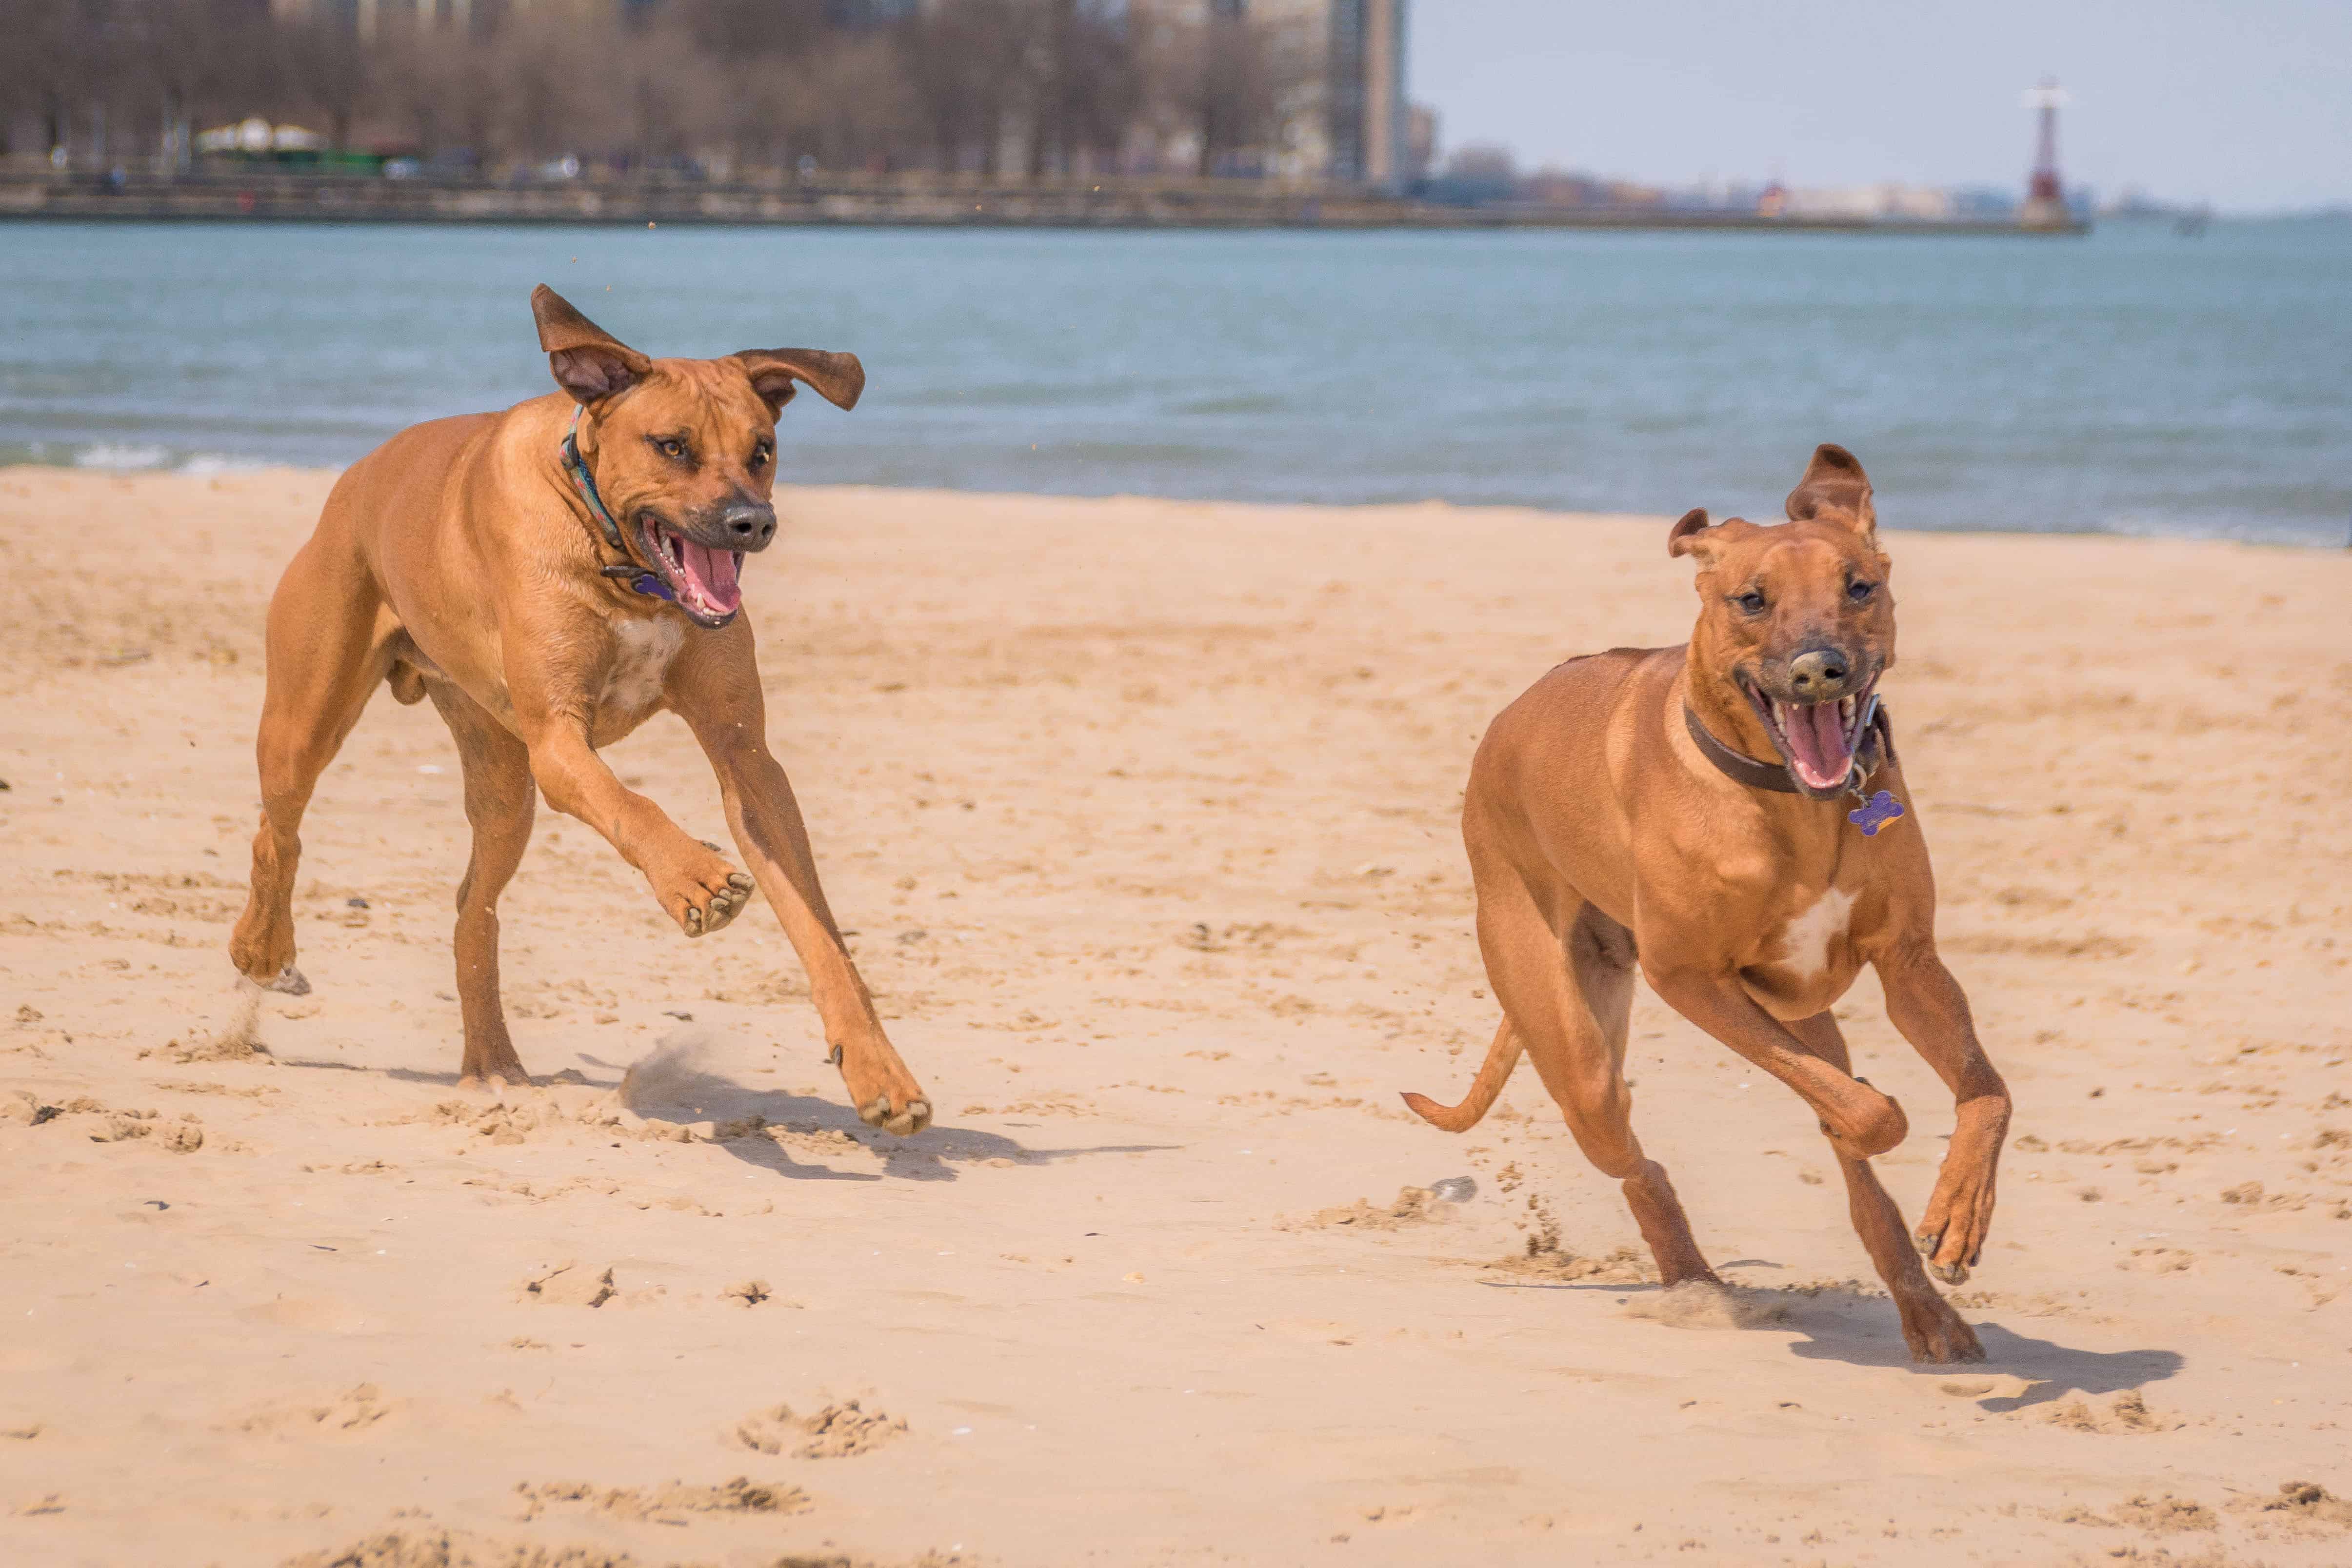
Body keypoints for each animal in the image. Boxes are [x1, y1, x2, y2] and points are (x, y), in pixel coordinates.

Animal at [227, 282, 926, 1133]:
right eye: (672, 446)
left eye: (762, 448)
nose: (751, 522)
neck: (622, 565)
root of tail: (355, 478)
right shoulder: (559, 743)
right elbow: (629, 802)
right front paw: (693, 875)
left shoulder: (748, 759)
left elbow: (819, 931)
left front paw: (877, 1067)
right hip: (308, 711)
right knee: (278, 831)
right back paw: (263, 948)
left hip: (502, 784)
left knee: (472, 909)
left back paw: (491, 1064)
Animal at [1401, 442, 2013, 1363]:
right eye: (1751, 600)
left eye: (1858, 585)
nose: (1817, 668)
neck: (1793, 801)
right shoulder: (1689, 979)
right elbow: (1866, 1111)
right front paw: (1875, 1124)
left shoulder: (1907, 960)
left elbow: (1982, 1093)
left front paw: (1957, 1213)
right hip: (1570, 1035)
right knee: (1636, 1156)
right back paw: (1694, 1283)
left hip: (1793, 1012)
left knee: (1847, 1159)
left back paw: (1924, 1311)